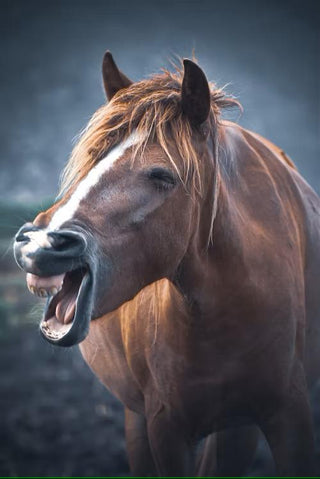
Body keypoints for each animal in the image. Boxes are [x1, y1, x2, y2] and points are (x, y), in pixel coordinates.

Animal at [13, 50, 320, 478]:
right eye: (91, 158)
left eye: (161, 175)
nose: (39, 243)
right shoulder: (166, 427)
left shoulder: (289, 414)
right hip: (141, 417)